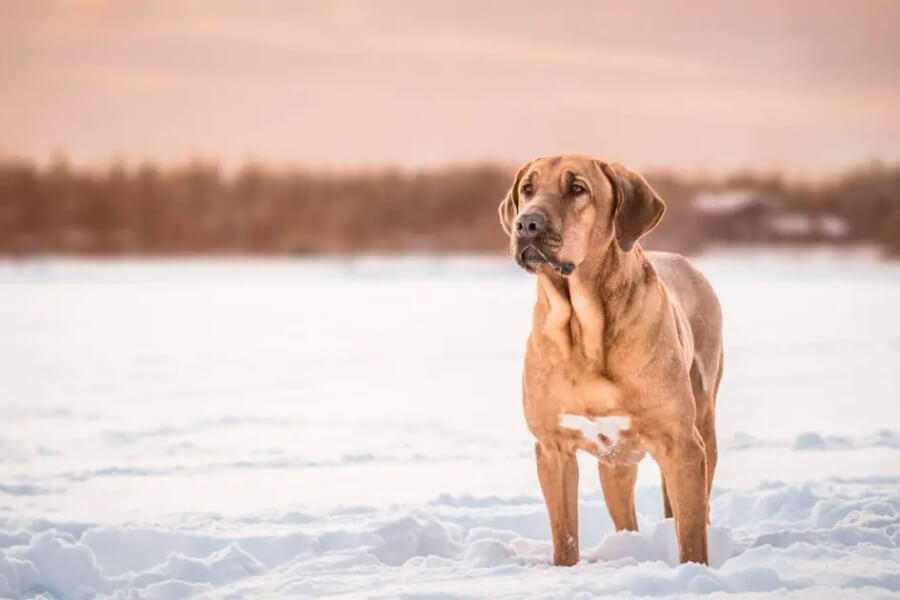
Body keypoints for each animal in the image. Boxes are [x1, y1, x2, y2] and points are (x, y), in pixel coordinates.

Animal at [500, 155, 724, 568]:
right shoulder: (552, 448)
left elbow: (690, 538)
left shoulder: (682, 445)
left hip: (704, 424)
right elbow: (565, 537)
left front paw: (694, 572)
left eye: (577, 189)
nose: (526, 223)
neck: (584, 329)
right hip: (615, 464)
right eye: (527, 188)